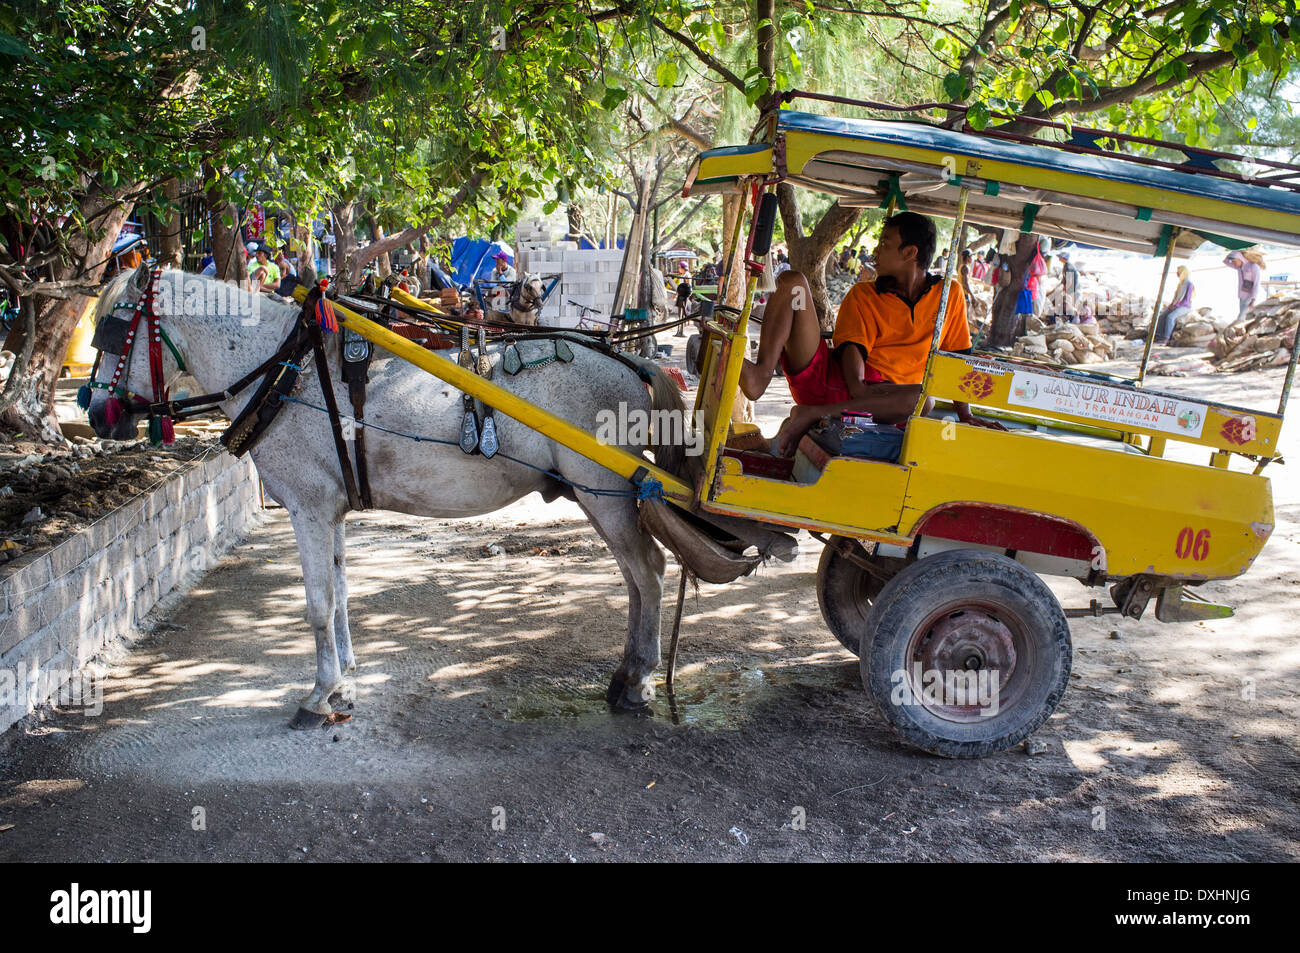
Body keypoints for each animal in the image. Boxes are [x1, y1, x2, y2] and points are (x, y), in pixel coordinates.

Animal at [85, 266, 690, 729]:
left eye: (112, 333)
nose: (96, 414)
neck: (287, 372)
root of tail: (633, 363)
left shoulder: (308, 509)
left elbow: (317, 605)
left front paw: (317, 695)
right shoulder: (329, 512)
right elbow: (340, 594)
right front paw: (342, 683)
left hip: (606, 493)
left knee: (650, 571)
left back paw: (638, 680)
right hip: (602, 497)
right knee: (636, 577)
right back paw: (626, 673)